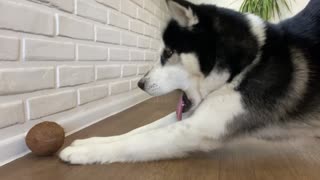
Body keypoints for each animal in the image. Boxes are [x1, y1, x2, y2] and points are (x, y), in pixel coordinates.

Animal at [59, 0, 320, 164]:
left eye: (168, 52)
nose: (140, 84)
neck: (244, 66)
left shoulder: (199, 128)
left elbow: (139, 141)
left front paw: (86, 152)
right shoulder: (192, 114)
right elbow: (138, 130)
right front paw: (91, 141)